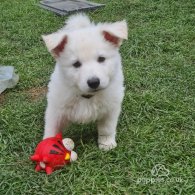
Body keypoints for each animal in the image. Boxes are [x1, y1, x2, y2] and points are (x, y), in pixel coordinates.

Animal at [42, 14, 128, 151]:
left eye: (101, 59)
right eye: (76, 64)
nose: (94, 82)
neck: (86, 96)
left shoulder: (111, 107)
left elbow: (107, 128)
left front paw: (107, 143)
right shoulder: (56, 109)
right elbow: (51, 129)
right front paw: (47, 145)